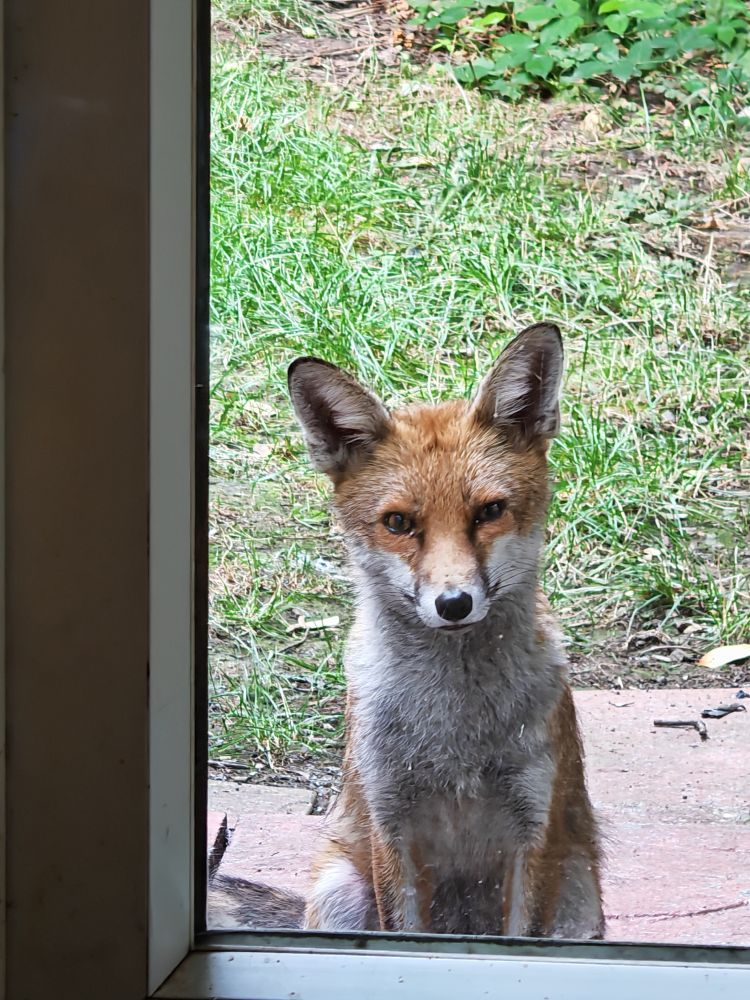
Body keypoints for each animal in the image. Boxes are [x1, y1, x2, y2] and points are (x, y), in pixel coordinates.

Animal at [283, 322, 605, 939]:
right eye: (398, 523)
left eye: (489, 511)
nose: (454, 604)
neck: (456, 735)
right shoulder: (392, 824)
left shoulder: (534, 824)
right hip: (339, 893)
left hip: (579, 896)